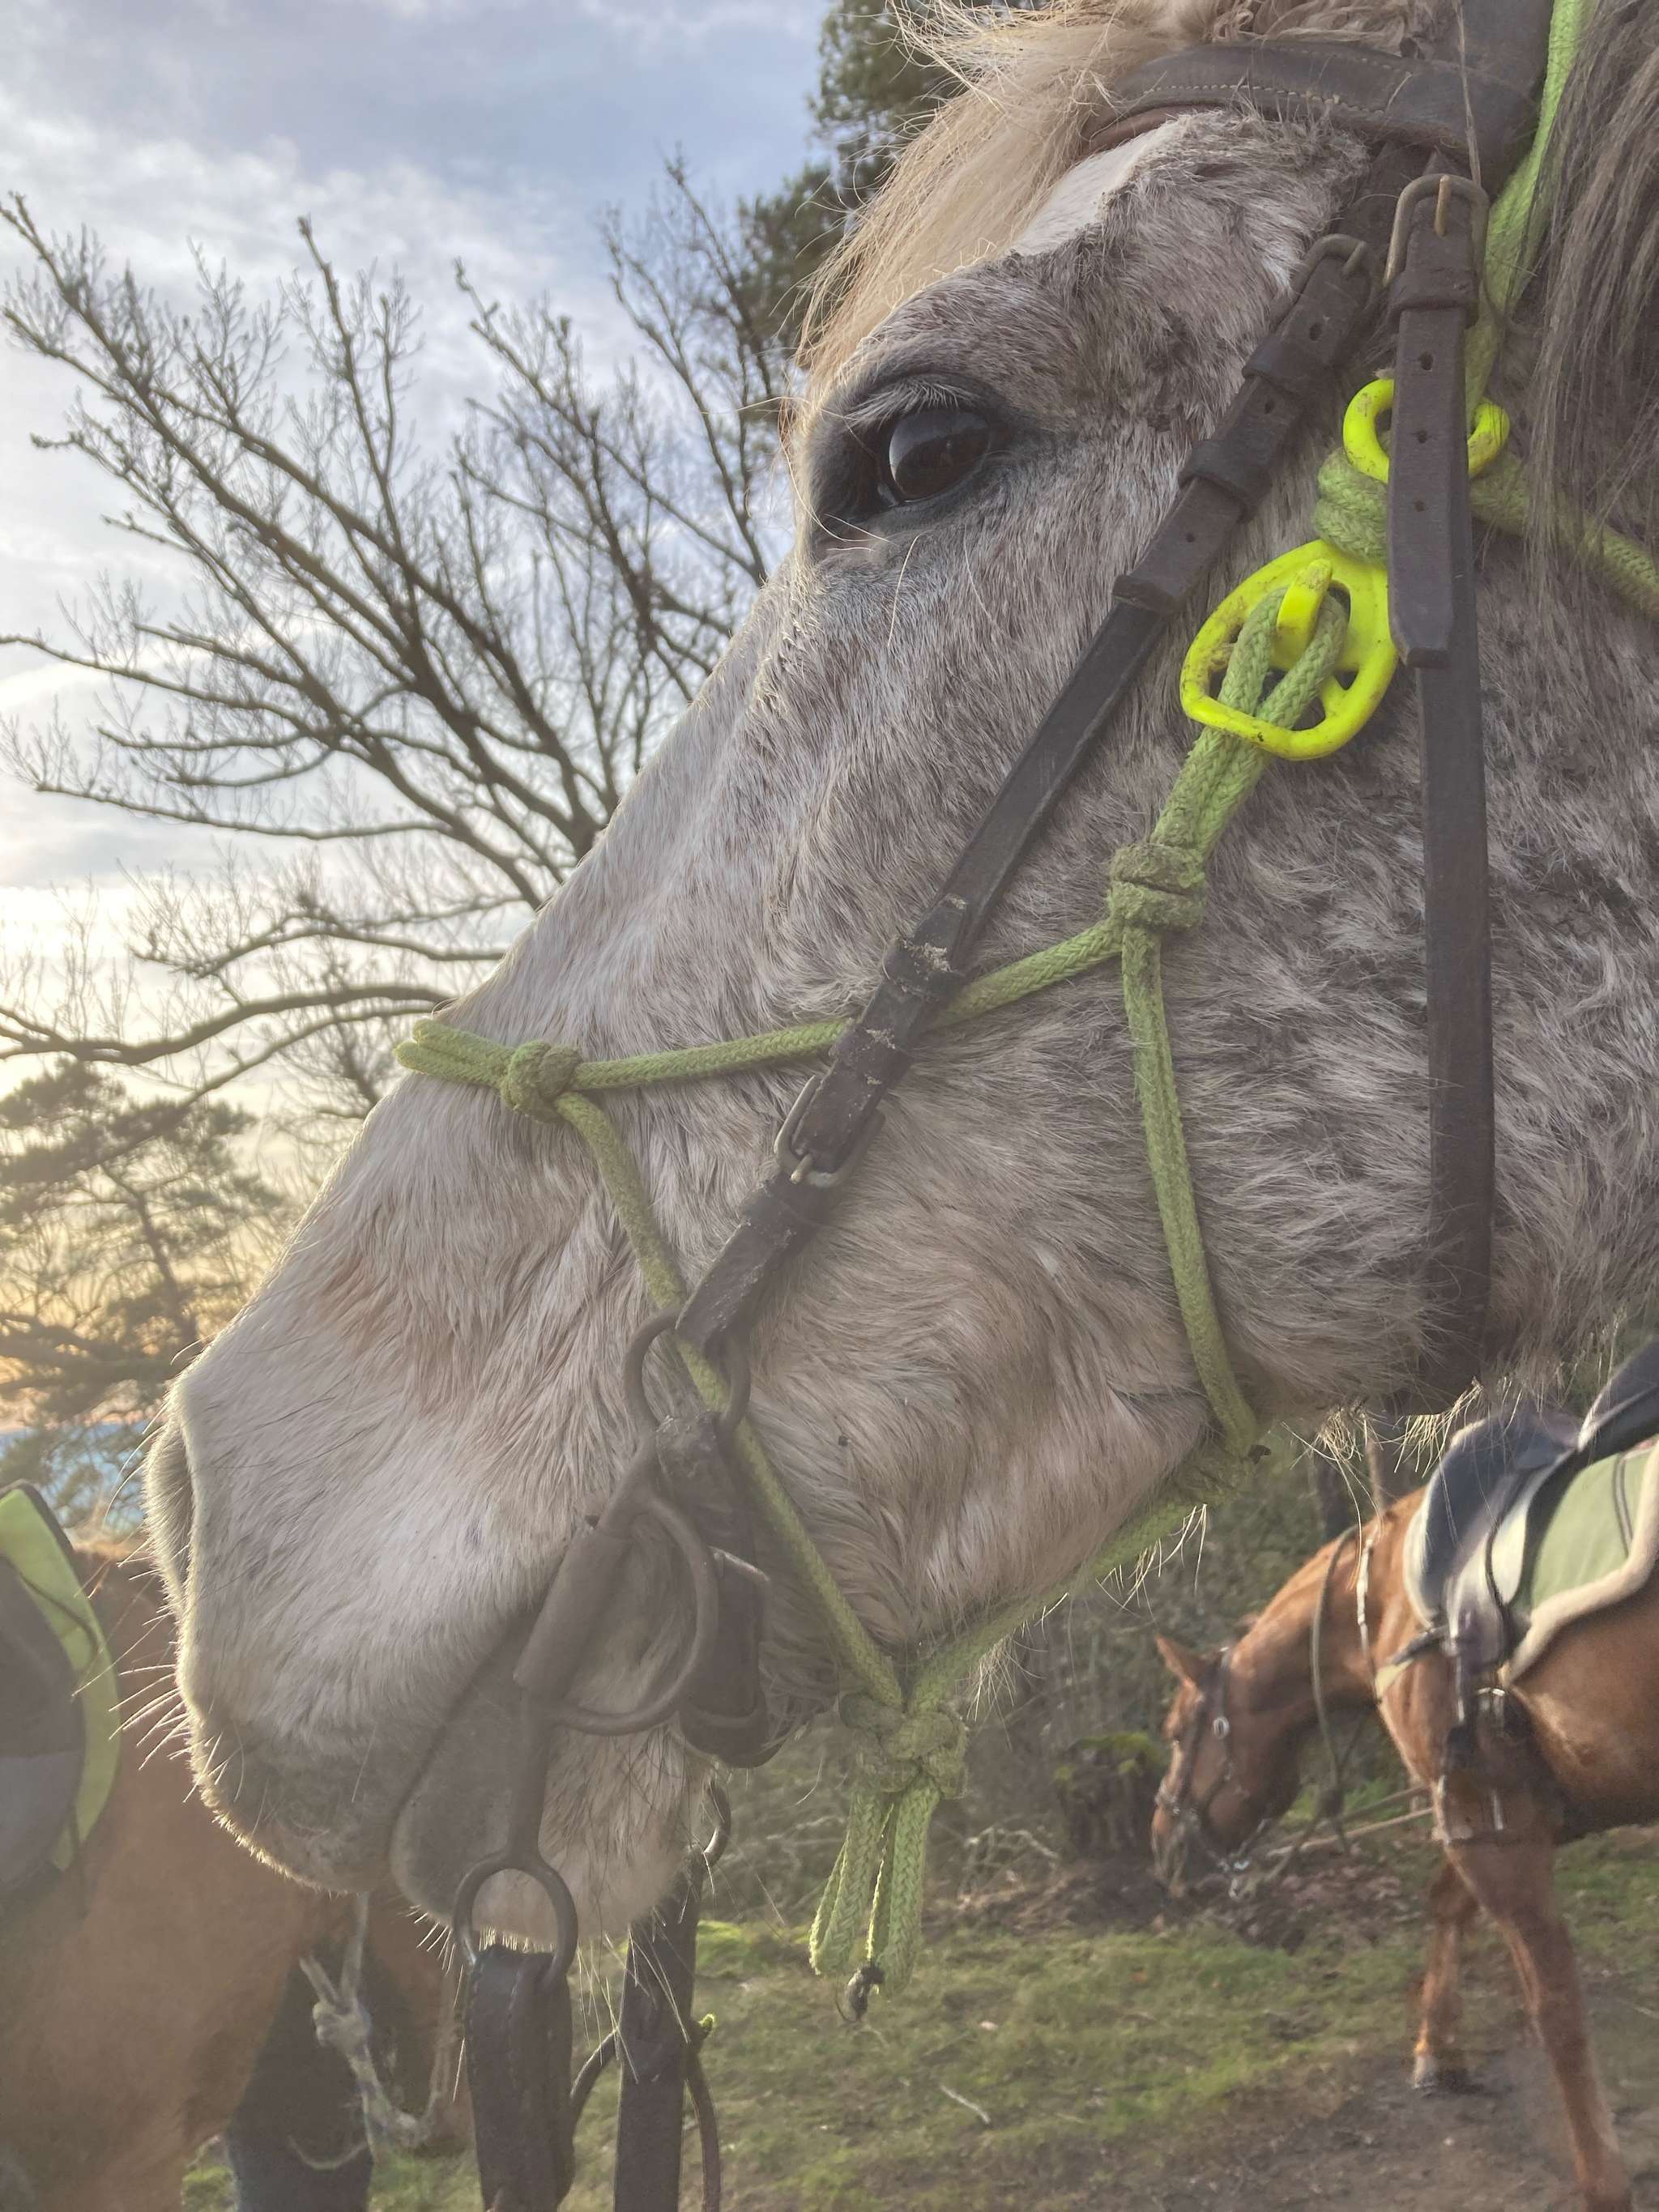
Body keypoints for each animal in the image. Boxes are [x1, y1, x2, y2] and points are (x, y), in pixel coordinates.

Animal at [1151, 1479, 1659, 2211]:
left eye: (1173, 1732)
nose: (1160, 1842)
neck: (1388, 1606)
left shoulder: (1494, 1831)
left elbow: (1557, 2010)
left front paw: (1602, 2183)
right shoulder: (1479, 1819)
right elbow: (1447, 1903)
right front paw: (1435, 2050)